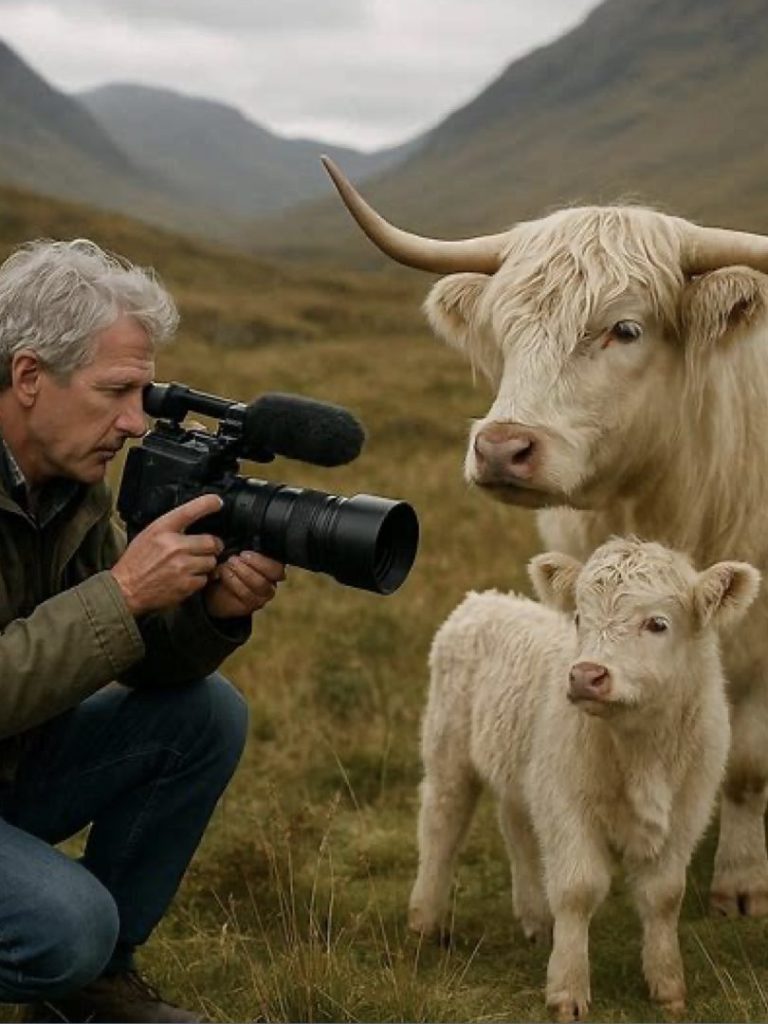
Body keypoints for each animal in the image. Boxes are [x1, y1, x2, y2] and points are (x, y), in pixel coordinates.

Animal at [411, 537, 757, 1019]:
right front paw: (567, 991)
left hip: (523, 775)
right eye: (579, 617)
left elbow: (665, 895)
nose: (585, 676)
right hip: (448, 755)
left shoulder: (686, 813)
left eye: (657, 623)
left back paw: (537, 920)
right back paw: (424, 921)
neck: (641, 752)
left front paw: (668, 988)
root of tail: (481, 600)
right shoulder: (567, 806)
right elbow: (578, 890)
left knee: (517, 830)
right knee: (441, 829)